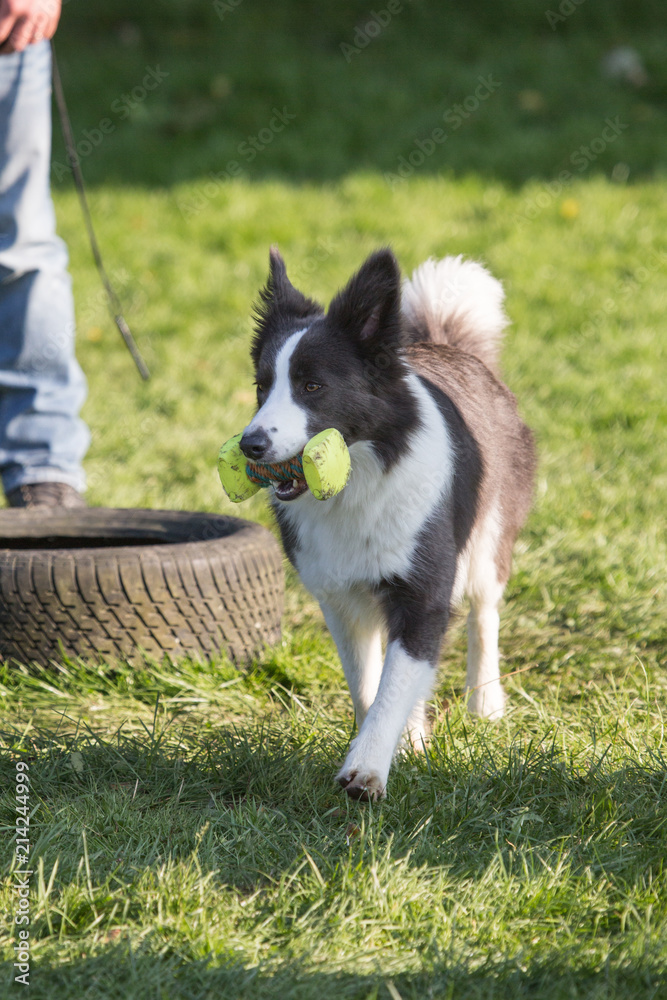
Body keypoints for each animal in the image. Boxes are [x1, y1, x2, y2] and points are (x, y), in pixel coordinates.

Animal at [240, 250, 536, 804]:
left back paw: (485, 704)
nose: (251, 445)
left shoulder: (423, 592)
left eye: (313, 386)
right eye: (262, 387)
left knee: (484, 614)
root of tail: (447, 345)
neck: (359, 479)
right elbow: (370, 686)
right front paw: (395, 744)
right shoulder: (341, 599)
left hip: (489, 541)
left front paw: (367, 771)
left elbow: (396, 684)